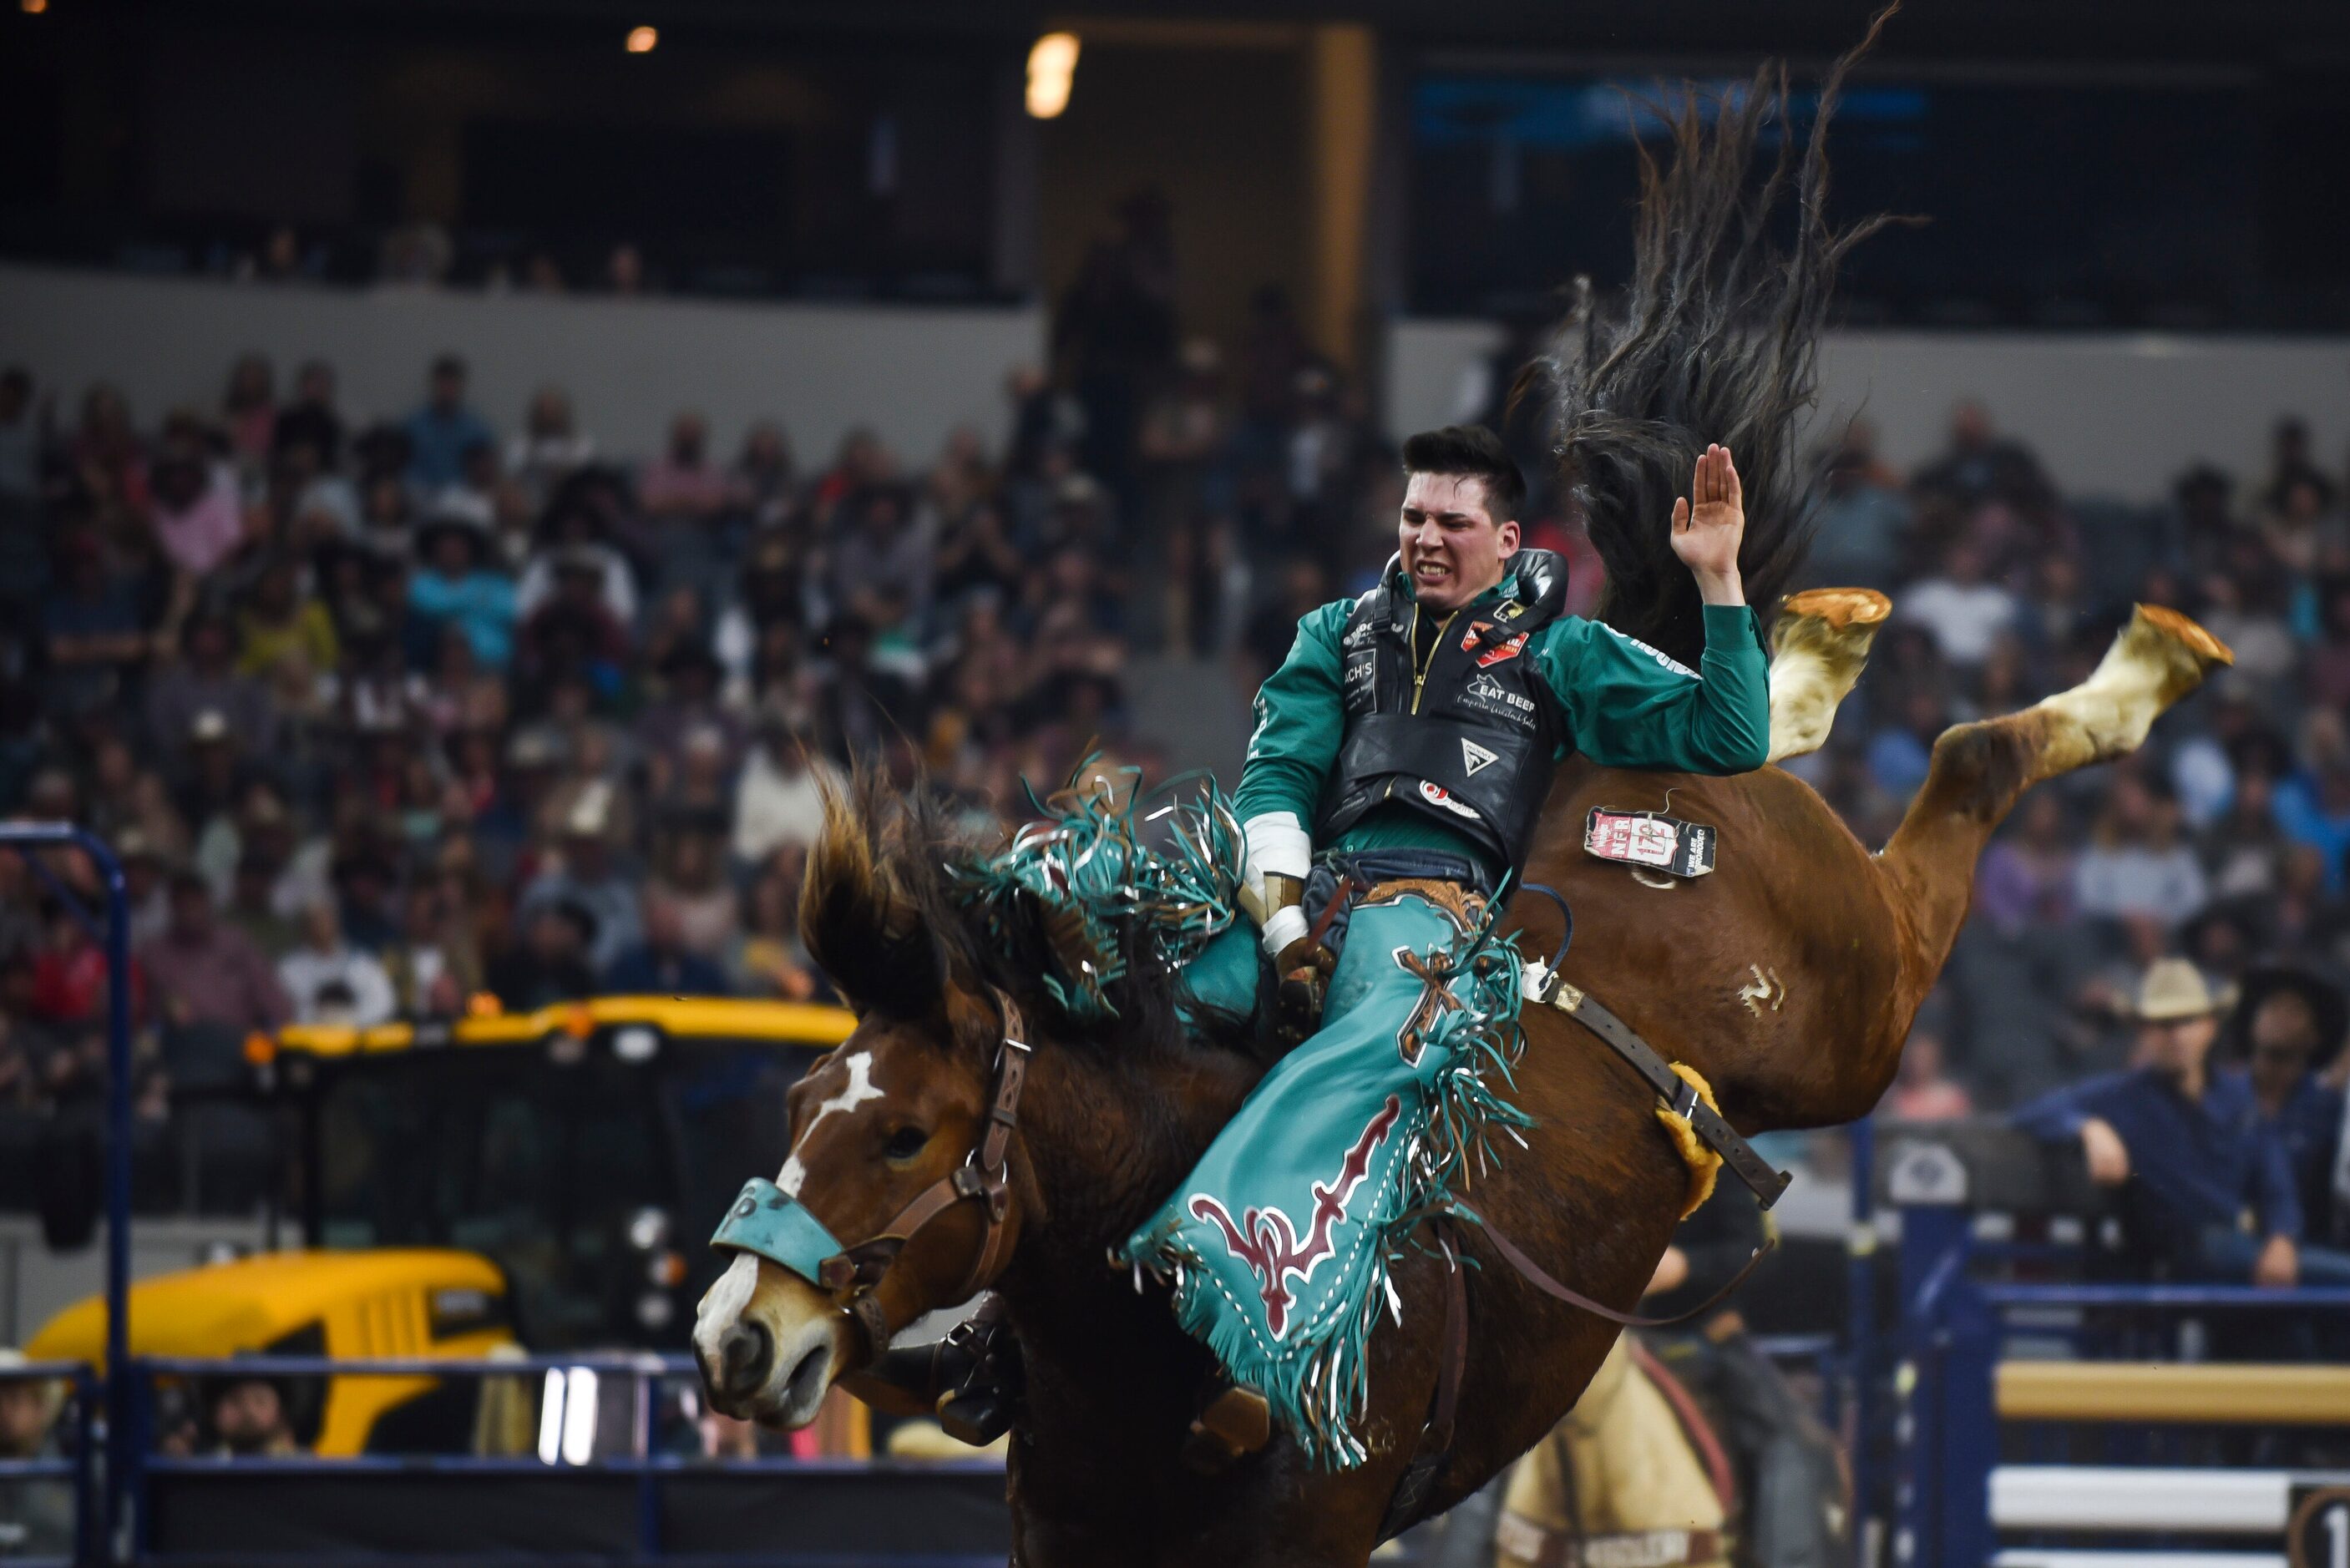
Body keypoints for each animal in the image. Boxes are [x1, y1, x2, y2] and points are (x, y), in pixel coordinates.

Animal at [686, 24, 2227, 1568]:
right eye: (800, 1097)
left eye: (901, 1131)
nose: (733, 1340)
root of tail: (1649, 777)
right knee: (1748, 715)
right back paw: (1822, 645)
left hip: (1852, 1012)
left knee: (1943, 758)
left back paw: (2118, 655)